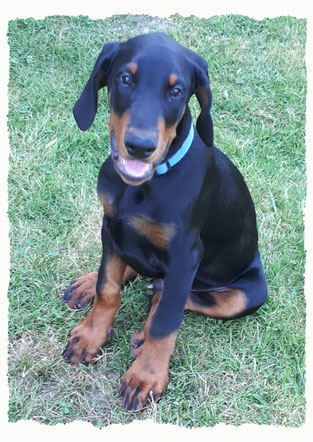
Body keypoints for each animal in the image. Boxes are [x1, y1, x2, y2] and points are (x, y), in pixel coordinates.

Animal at [62, 32, 266, 412]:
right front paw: (91, 335)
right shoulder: (110, 226)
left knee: (178, 297)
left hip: (250, 293)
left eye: (176, 91)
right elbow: (107, 288)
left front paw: (146, 376)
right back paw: (88, 284)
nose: (139, 146)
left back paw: (147, 321)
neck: (144, 186)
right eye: (125, 79)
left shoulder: (186, 255)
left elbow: (166, 323)